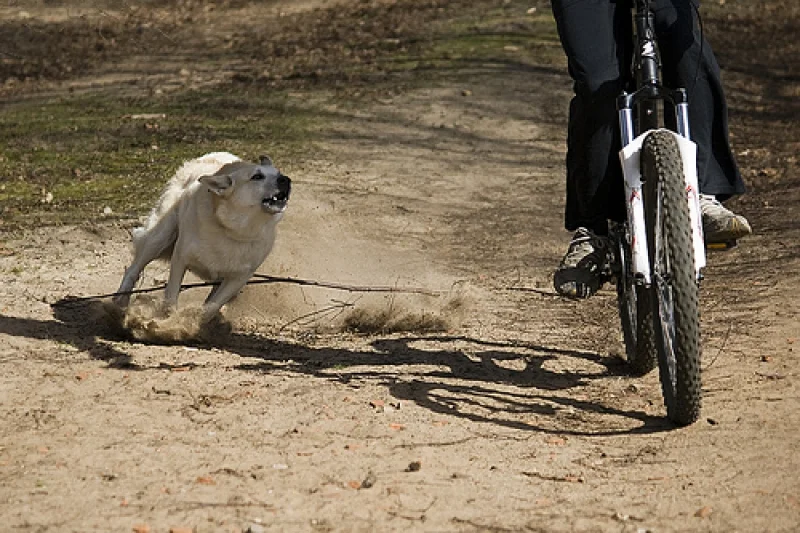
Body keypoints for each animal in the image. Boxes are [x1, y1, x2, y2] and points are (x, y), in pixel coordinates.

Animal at [114, 151, 292, 320]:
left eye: (279, 173)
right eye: (257, 176)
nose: (286, 179)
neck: (233, 230)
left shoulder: (238, 278)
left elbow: (212, 306)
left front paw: (194, 321)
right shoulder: (180, 259)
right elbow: (171, 296)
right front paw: (169, 321)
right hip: (160, 236)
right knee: (133, 269)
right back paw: (120, 301)